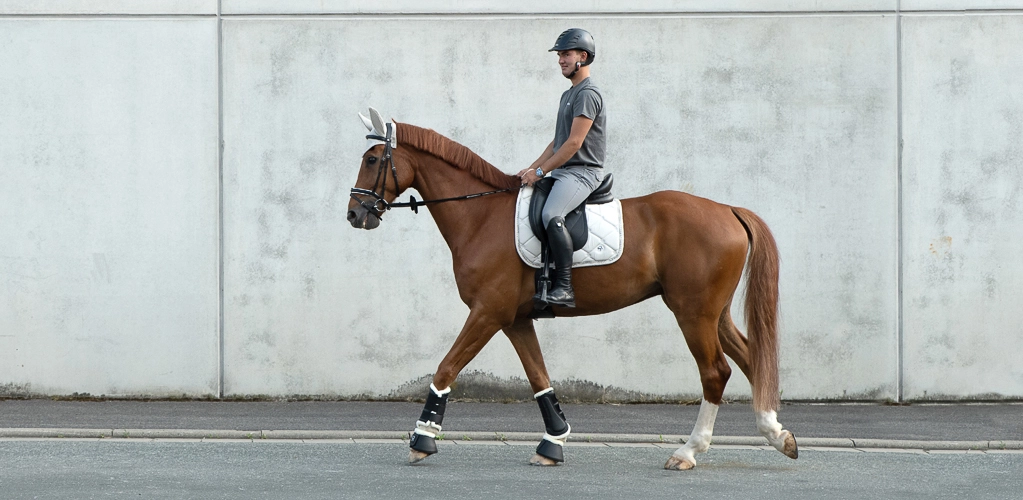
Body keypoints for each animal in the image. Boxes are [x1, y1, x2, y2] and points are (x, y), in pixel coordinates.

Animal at [346, 109, 798, 470]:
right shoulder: (514, 319)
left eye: (372, 159)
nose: (354, 214)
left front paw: (421, 440)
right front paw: (553, 443)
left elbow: (446, 367)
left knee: (715, 372)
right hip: (713, 313)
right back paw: (779, 436)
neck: (481, 215)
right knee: (751, 359)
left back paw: (688, 452)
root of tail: (727, 210)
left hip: (693, 313)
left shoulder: (487, 312)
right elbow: (539, 378)